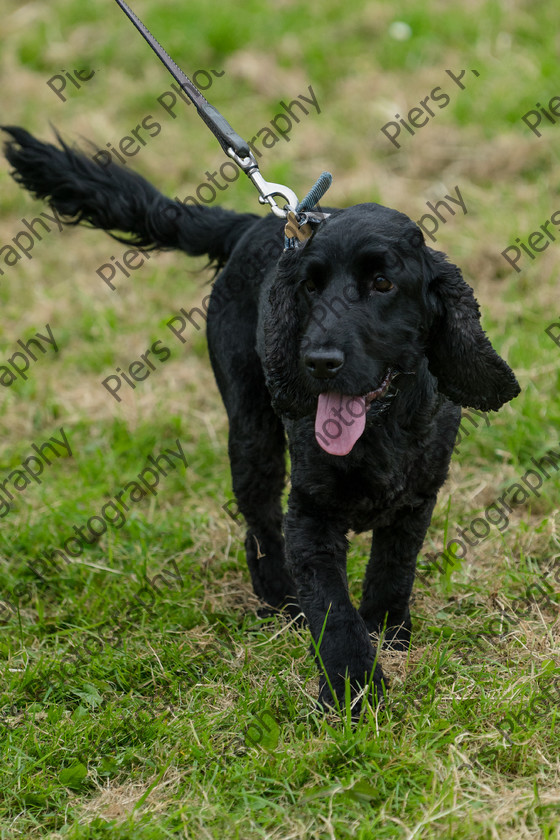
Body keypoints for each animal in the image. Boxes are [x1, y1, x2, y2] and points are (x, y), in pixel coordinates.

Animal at [4, 128, 520, 712]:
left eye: (383, 283)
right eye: (310, 287)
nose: (317, 361)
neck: (381, 429)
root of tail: (255, 222)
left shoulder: (416, 499)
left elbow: (394, 570)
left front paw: (389, 633)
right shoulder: (309, 516)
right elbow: (332, 611)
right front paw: (352, 688)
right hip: (251, 434)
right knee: (259, 526)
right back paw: (279, 602)